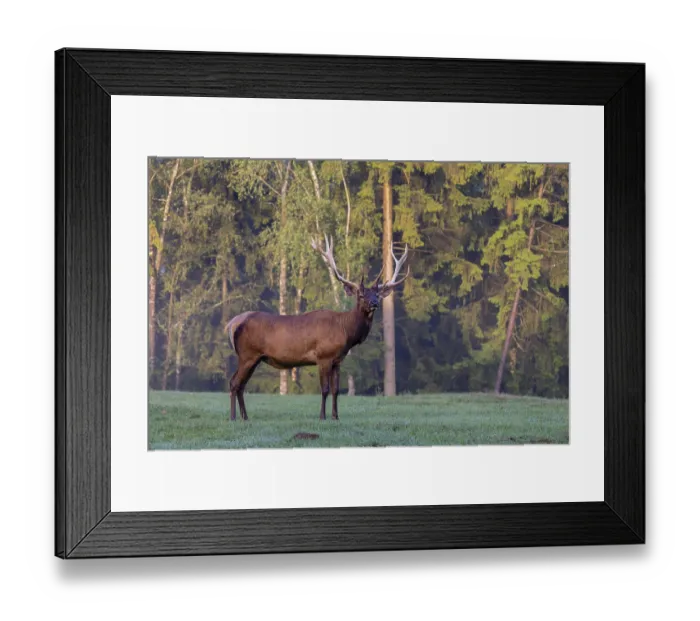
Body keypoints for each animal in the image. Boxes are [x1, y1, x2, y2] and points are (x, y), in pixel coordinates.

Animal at [224, 235, 409, 422]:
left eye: (377, 294)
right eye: (361, 295)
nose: (375, 303)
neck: (346, 331)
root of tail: (232, 324)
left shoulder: (338, 360)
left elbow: (336, 390)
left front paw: (335, 417)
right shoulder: (323, 357)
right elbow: (325, 389)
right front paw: (322, 416)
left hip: (254, 358)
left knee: (241, 385)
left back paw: (245, 417)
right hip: (248, 355)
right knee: (234, 383)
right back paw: (232, 417)